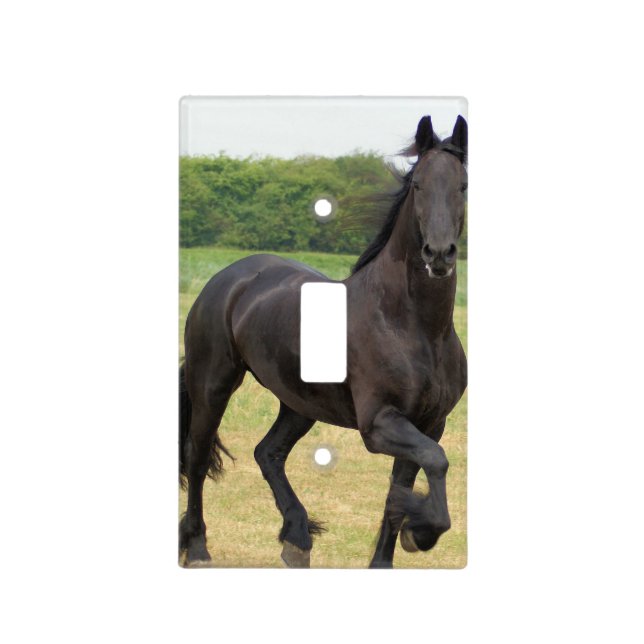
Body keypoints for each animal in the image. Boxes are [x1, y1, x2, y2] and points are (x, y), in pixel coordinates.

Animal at [179, 114, 468, 568]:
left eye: (463, 186)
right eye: (419, 184)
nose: (439, 254)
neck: (415, 328)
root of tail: (229, 278)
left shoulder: (430, 424)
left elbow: (399, 490)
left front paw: (391, 552)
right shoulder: (379, 423)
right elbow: (436, 464)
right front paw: (420, 533)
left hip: (299, 402)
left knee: (268, 452)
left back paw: (296, 540)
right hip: (213, 384)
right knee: (197, 453)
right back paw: (197, 549)